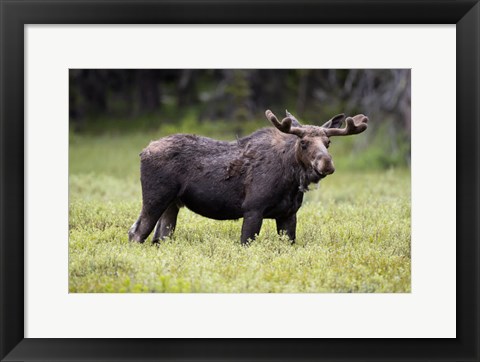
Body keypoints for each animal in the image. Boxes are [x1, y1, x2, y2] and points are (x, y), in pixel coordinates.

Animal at [127, 109, 368, 245]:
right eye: (303, 142)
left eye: (328, 142)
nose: (326, 164)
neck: (291, 182)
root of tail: (142, 151)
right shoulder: (253, 209)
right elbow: (246, 244)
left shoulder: (288, 215)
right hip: (155, 198)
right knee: (136, 233)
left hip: (172, 205)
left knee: (159, 238)